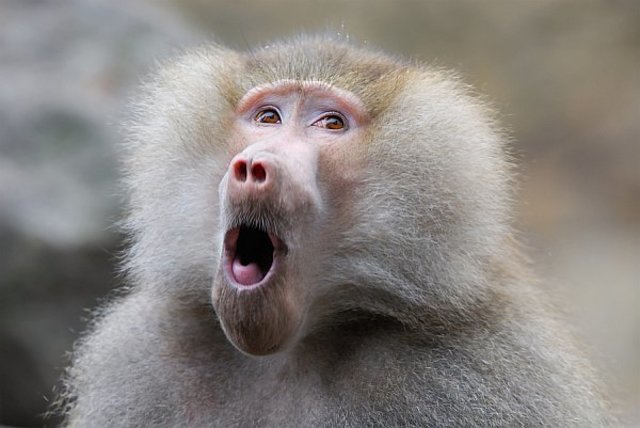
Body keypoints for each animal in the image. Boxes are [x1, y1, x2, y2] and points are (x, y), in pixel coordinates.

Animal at [57, 35, 614, 427]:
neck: (289, 352)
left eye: (330, 124)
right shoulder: (146, 360)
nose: (254, 166)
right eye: (268, 116)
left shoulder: (479, 376)